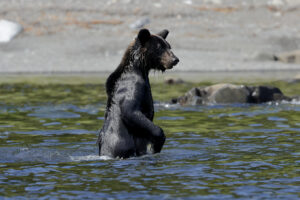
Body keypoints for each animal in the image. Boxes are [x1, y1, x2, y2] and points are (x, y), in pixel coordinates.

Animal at [97, 28, 179, 159]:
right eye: (160, 47)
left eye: (169, 46)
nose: (175, 59)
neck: (140, 69)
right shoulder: (133, 86)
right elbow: (130, 111)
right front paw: (157, 143)